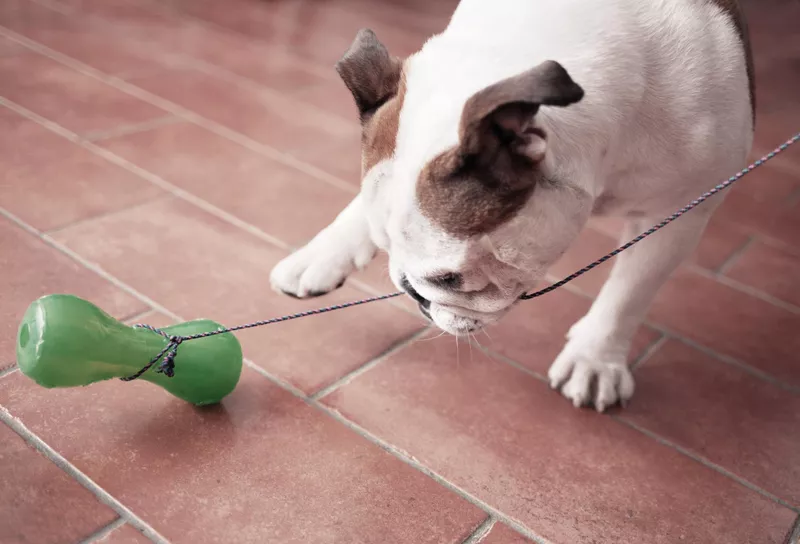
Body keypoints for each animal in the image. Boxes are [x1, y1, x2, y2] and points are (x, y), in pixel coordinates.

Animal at [272, 0, 752, 410]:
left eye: (448, 279)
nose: (413, 294)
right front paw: (323, 253)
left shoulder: (679, 211)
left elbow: (631, 290)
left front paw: (595, 358)